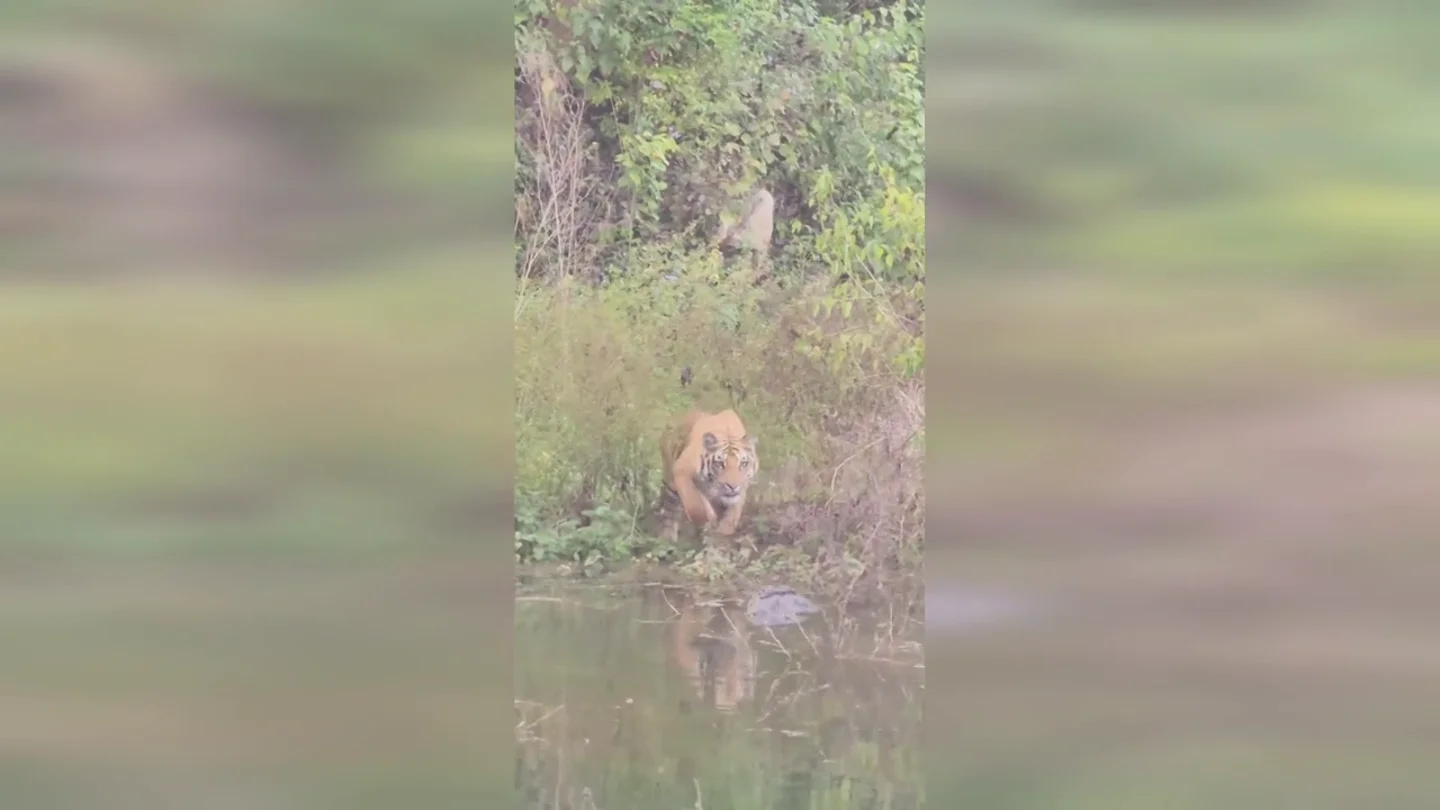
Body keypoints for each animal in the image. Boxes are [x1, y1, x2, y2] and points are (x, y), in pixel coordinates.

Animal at [658, 408, 758, 545]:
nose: (733, 486)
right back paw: (667, 538)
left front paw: (723, 531)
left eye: (743, 464)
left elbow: (733, 514)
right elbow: (695, 508)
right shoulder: (682, 471)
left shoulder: (742, 489)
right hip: (671, 483)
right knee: (670, 508)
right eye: (720, 463)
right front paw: (707, 522)